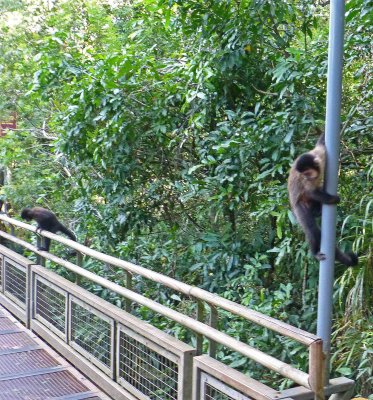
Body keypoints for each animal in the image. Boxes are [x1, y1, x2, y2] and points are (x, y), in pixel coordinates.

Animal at [288, 133, 358, 268]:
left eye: (308, 172)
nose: (306, 177)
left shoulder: (321, 155)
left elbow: (320, 144)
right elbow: (311, 192)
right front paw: (334, 199)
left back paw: (317, 211)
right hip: (299, 206)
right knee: (311, 229)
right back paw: (315, 252)